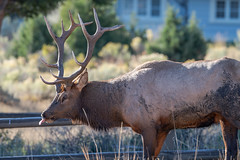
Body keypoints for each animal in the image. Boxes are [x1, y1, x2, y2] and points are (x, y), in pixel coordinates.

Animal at [39, 9, 240, 160]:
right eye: (56, 94)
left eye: (64, 97)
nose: (44, 113)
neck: (119, 108)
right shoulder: (163, 128)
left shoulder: (148, 126)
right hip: (226, 118)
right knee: (230, 151)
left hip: (233, 112)